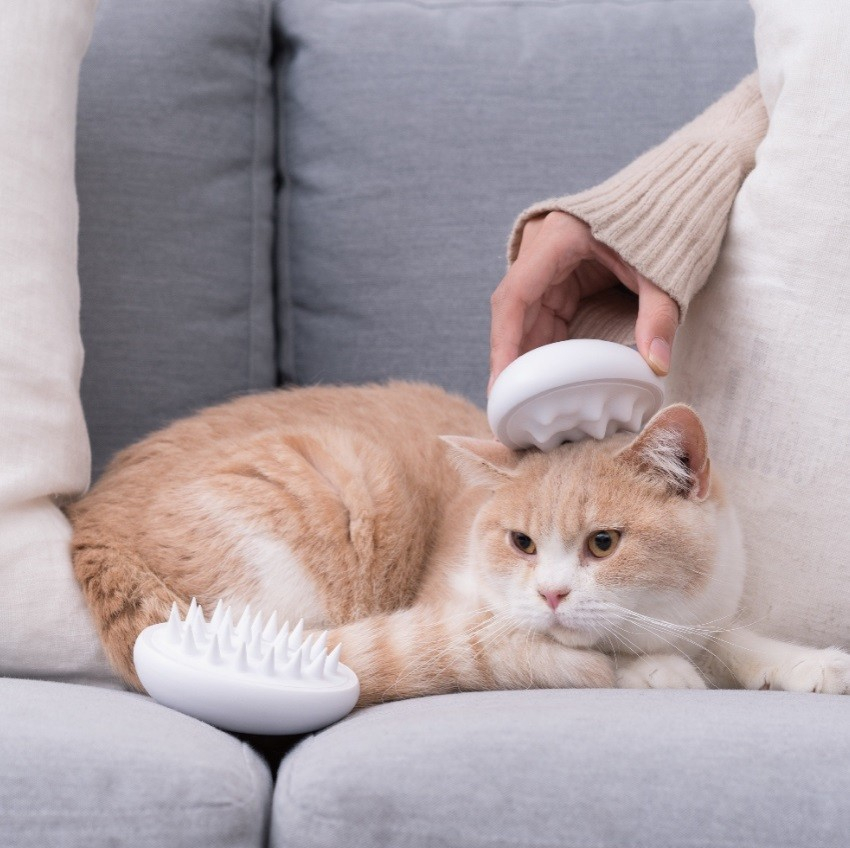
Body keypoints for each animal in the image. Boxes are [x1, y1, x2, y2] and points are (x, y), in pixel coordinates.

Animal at [68, 382, 848, 704]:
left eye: (603, 543)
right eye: (522, 542)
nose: (553, 593)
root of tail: (91, 521)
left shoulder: (707, 613)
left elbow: (733, 638)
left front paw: (805, 663)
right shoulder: (465, 614)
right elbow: (534, 651)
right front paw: (650, 669)